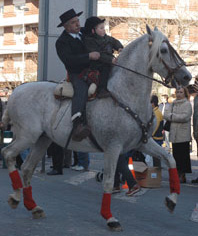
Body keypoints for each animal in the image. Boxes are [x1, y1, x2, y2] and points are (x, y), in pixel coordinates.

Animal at [1, 25, 190, 230]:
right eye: (163, 50)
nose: (187, 76)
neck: (126, 94)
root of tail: (15, 92)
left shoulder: (143, 143)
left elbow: (170, 159)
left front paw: (172, 199)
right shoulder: (113, 147)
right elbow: (108, 181)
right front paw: (110, 218)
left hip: (43, 140)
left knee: (27, 168)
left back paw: (33, 206)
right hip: (27, 136)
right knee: (8, 154)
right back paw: (16, 197)